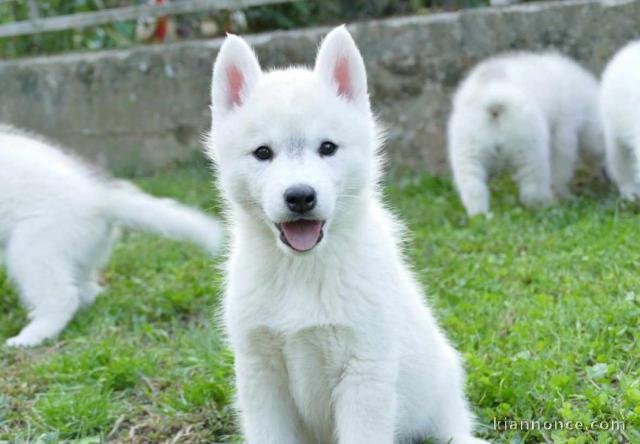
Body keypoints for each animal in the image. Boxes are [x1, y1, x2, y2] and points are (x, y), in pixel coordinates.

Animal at [0, 125, 224, 346]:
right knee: (86, 290)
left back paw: (31, 336)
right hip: (74, 252)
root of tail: (101, 199)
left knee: (63, 296)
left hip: (32, 247)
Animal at [208, 26, 488, 444]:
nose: (300, 197)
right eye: (262, 153)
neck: (302, 272)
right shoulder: (260, 372)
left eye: (327, 147)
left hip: (442, 391)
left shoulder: (365, 373)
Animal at [448, 53, 604, 216]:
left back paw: (481, 215)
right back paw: (545, 207)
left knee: (473, 188)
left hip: (468, 149)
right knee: (532, 188)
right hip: (529, 149)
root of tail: (494, 103)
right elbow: (560, 169)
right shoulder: (564, 130)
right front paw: (564, 196)